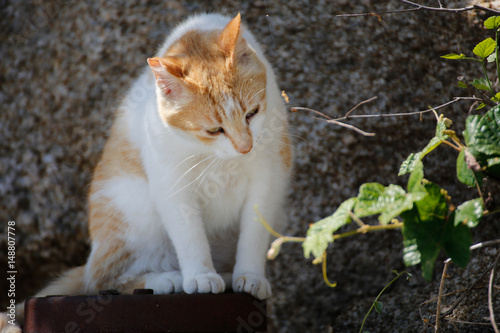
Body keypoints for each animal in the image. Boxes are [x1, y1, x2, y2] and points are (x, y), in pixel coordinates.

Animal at [3, 12, 292, 326]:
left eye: (252, 113)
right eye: (214, 130)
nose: (245, 147)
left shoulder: (270, 177)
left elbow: (255, 232)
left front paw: (250, 276)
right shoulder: (172, 183)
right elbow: (190, 235)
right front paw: (200, 275)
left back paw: (224, 274)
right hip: (132, 211)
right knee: (103, 279)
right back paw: (168, 279)